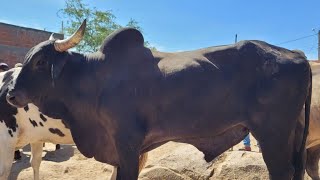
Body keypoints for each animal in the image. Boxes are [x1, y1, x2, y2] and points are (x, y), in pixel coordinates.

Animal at [6, 26, 312, 180]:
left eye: (41, 61)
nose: (9, 94)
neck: (93, 80)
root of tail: (297, 54)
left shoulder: (127, 145)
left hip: (272, 133)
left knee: (281, 172)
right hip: (293, 133)